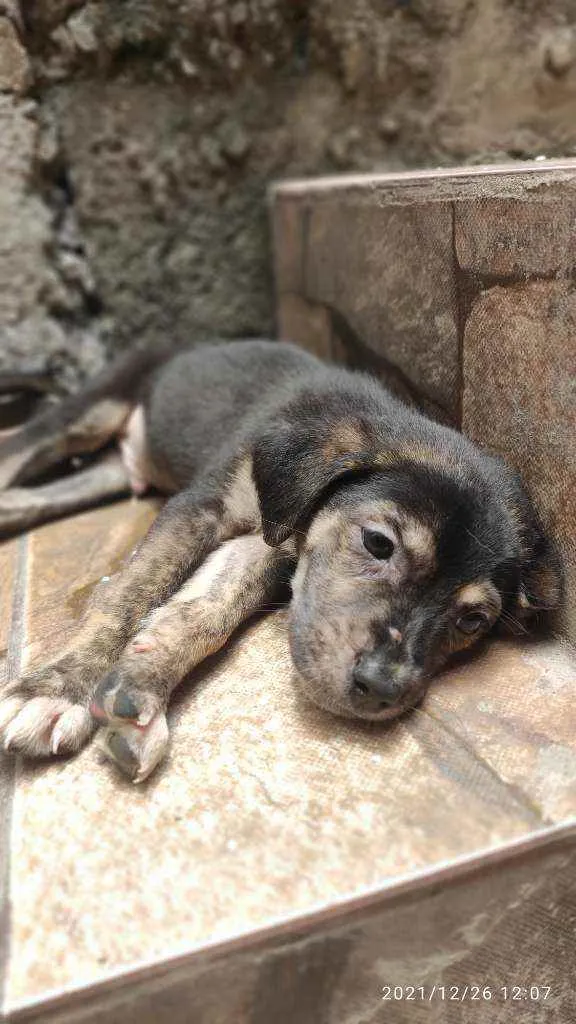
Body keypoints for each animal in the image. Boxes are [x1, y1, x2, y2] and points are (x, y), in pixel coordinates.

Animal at [0, 339, 561, 778]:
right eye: (379, 543)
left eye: (472, 620)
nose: (380, 690)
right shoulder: (204, 506)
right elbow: (128, 594)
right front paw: (58, 690)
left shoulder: (267, 541)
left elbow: (206, 611)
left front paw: (139, 690)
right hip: (90, 409)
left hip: (107, 471)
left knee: (23, 500)